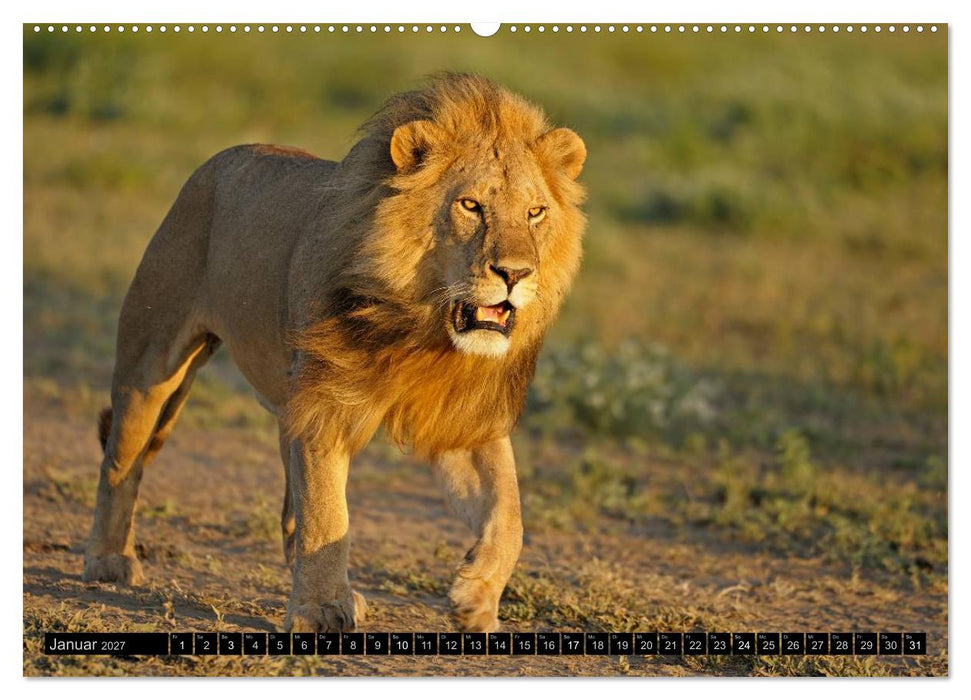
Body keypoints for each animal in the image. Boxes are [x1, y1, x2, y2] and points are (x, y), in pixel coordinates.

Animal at [83, 73, 587, 633]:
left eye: (535, 212)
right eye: (471, 206)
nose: (516, 273)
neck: (422, 328)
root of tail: (219, 159)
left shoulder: (461, 417)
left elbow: (510, 514)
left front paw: (474, 599)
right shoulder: (324, 405)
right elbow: (328, 515)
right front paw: (322, 609)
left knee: (289, 509)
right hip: (152, 359)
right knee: (120, 462)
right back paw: (108, 560)